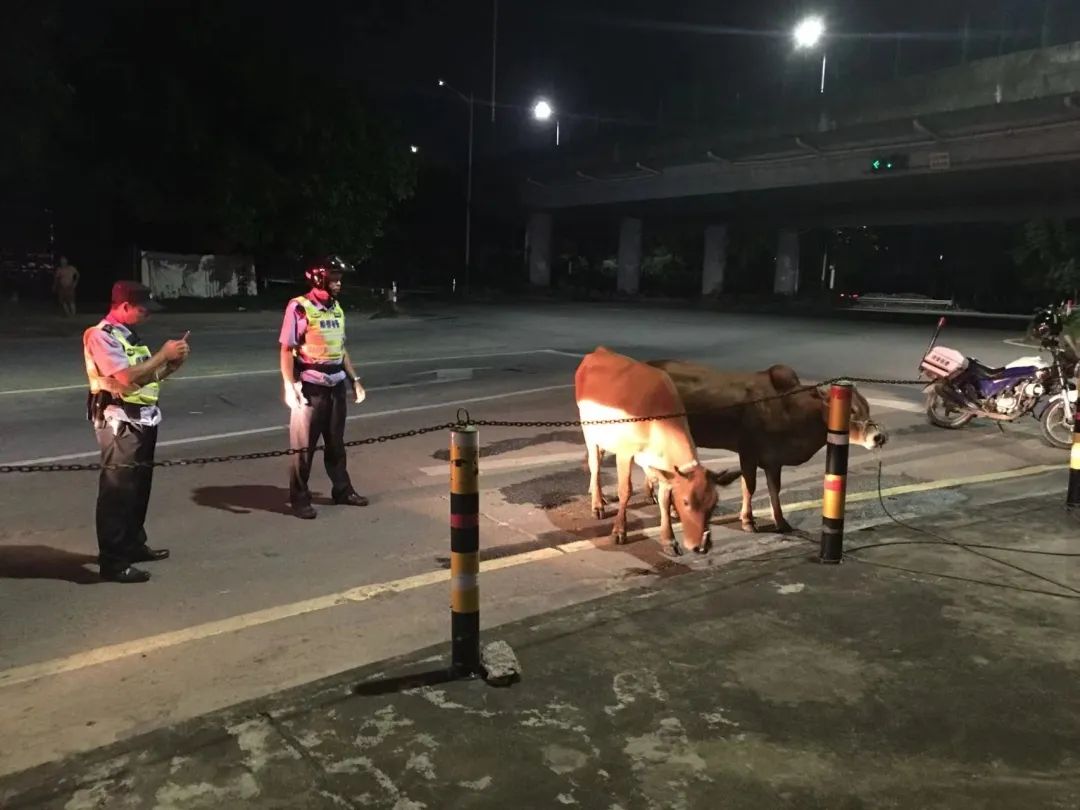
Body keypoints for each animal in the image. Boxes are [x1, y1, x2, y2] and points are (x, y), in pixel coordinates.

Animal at [574, 345, 743, 557]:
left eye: (714, 504)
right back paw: (597, 504)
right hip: (589, 432)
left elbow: (665, 499)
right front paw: (619, 531)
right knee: (595, 463)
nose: (701, 546)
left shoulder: (665, 466)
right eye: (686, 502)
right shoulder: (624, 453)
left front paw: (669, 541)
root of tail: (598, 352)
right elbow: (625, 490)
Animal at [639, 360, 885, 535]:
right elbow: (750, 487)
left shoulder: (773, 460)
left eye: (867, 407)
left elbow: (774, 489)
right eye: (851, 410)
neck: (789, 407)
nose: (879, 437)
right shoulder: (748, 452)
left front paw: (781, 522)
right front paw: (748, 521)